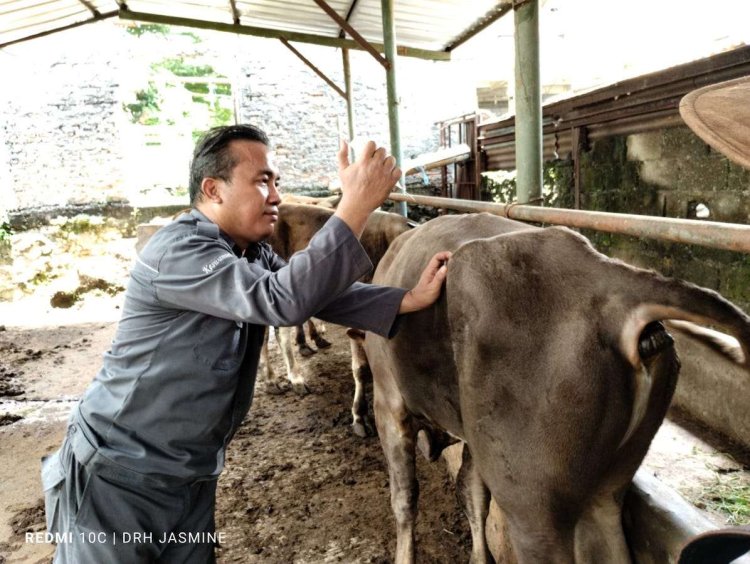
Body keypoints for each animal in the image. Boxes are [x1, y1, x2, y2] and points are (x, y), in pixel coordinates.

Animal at [362, 214, 748, 564]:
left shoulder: (388, 402)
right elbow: (472, 492)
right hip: (608, 486)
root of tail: (610, 277)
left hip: (531, 502)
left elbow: (405, 498)